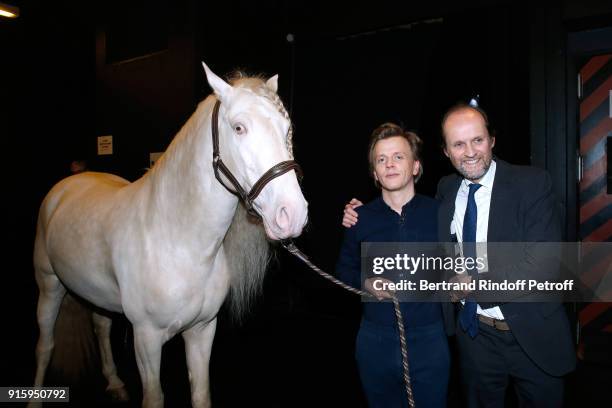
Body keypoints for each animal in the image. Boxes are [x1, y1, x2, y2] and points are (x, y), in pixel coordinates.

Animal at [31, 62, 308, 406]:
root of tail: (68, 185)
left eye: (287, 129)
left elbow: (201, 393)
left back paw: (115, 383)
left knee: (100, 327)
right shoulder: (146, 339)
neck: (179, 243)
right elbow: (154, 397)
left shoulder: (202, 330)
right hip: (49, 286)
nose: (292, 214)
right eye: (239, 128)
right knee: (45, 345)